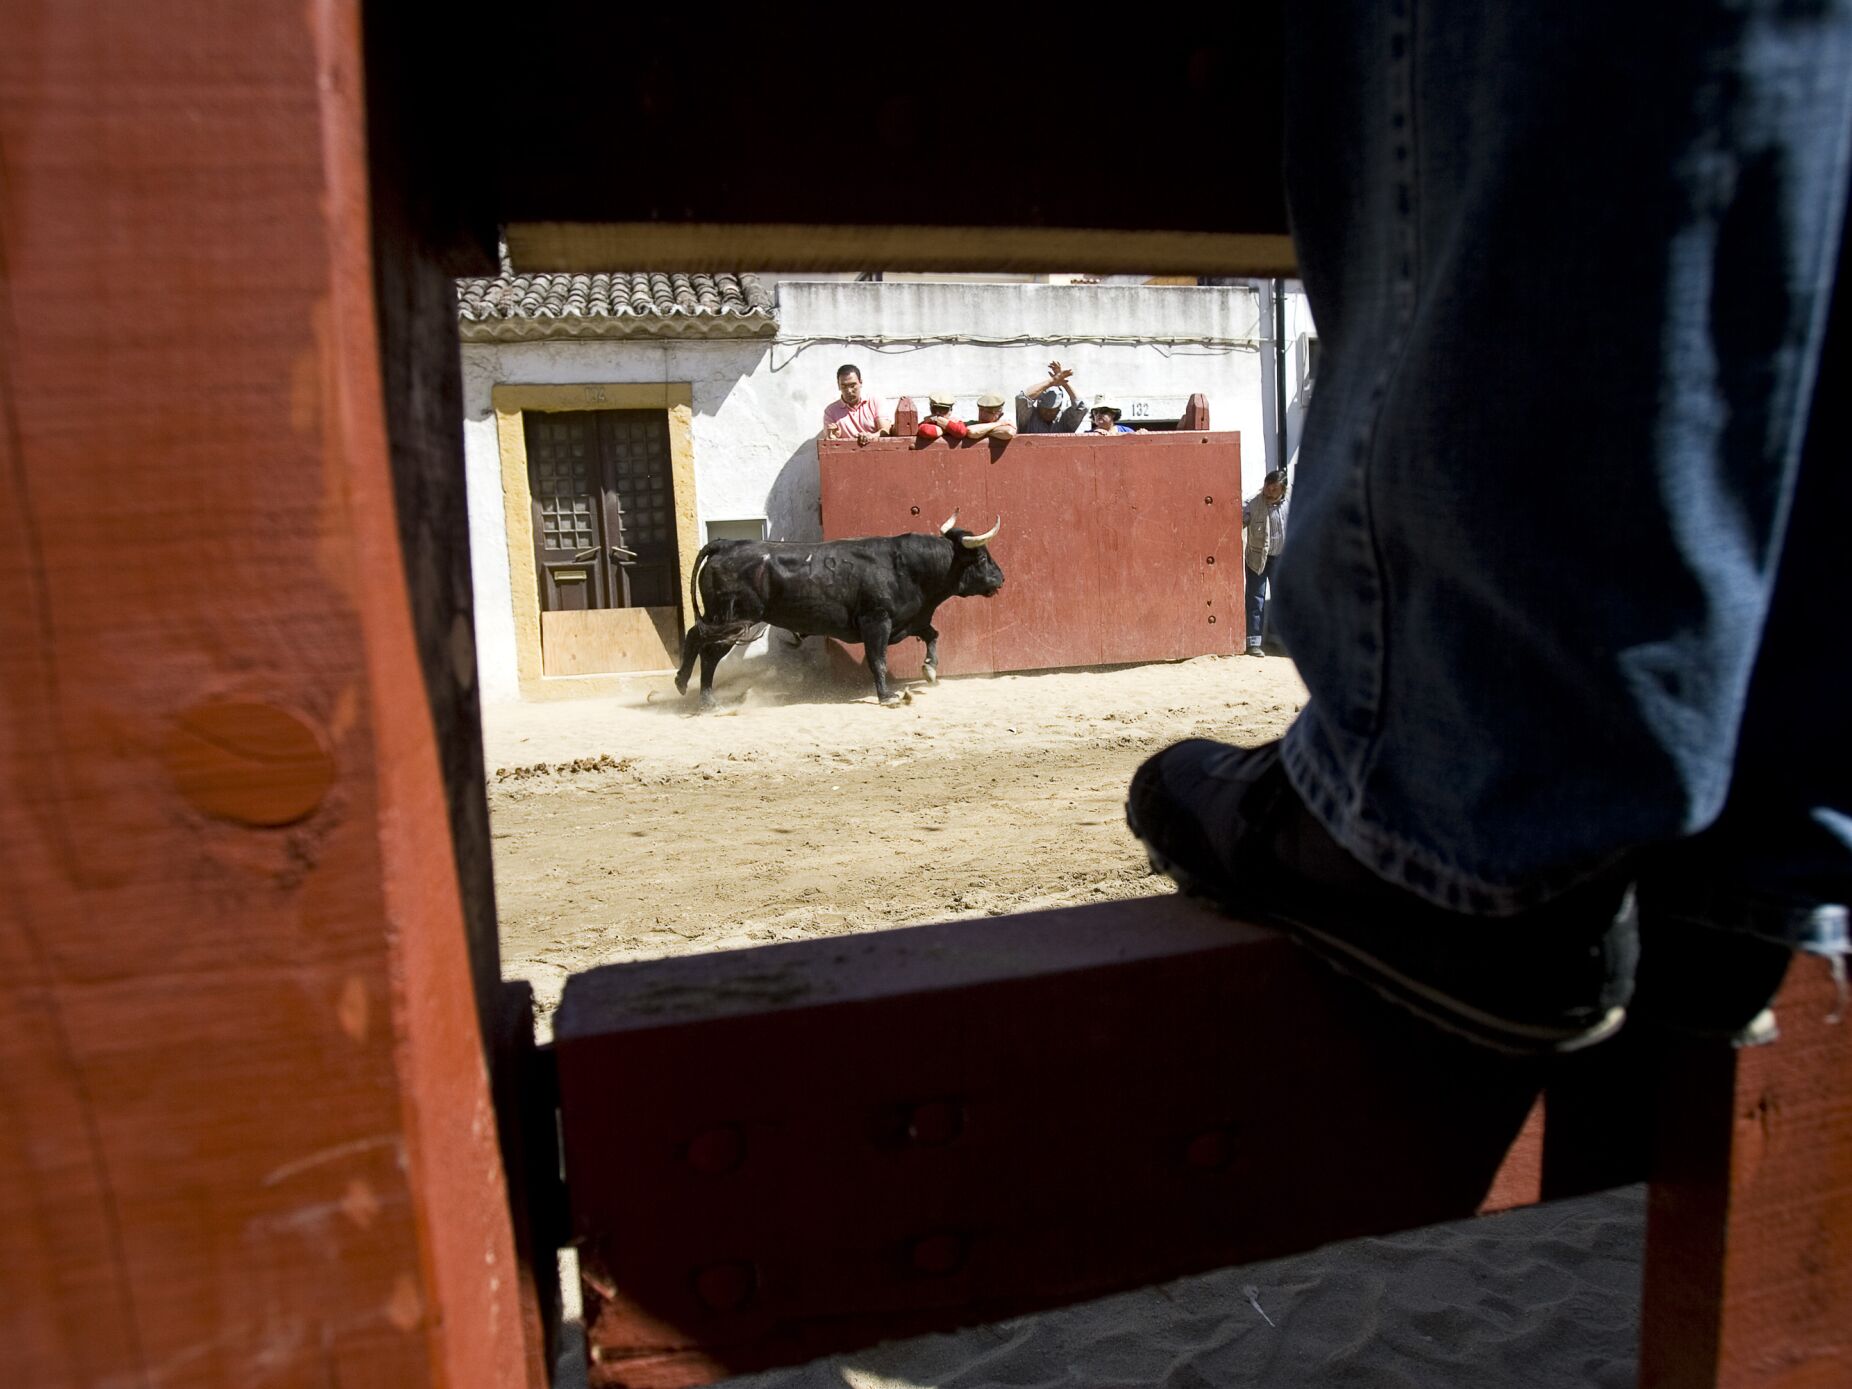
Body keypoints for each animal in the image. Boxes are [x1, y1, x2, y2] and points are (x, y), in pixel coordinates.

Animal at [677, 518, 1007, 707]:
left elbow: (933, 634)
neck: (908, 566)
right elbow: (878, 660)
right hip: (732, 620)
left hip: (719, 618)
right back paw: (707, 701)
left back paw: (682, 683)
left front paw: (929, 670)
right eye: (981, 557)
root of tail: (725, 544)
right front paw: (887, 697)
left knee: (694, 636)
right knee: (709, 653)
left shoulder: (909, 620)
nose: (1001, 578)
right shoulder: (876, 621)